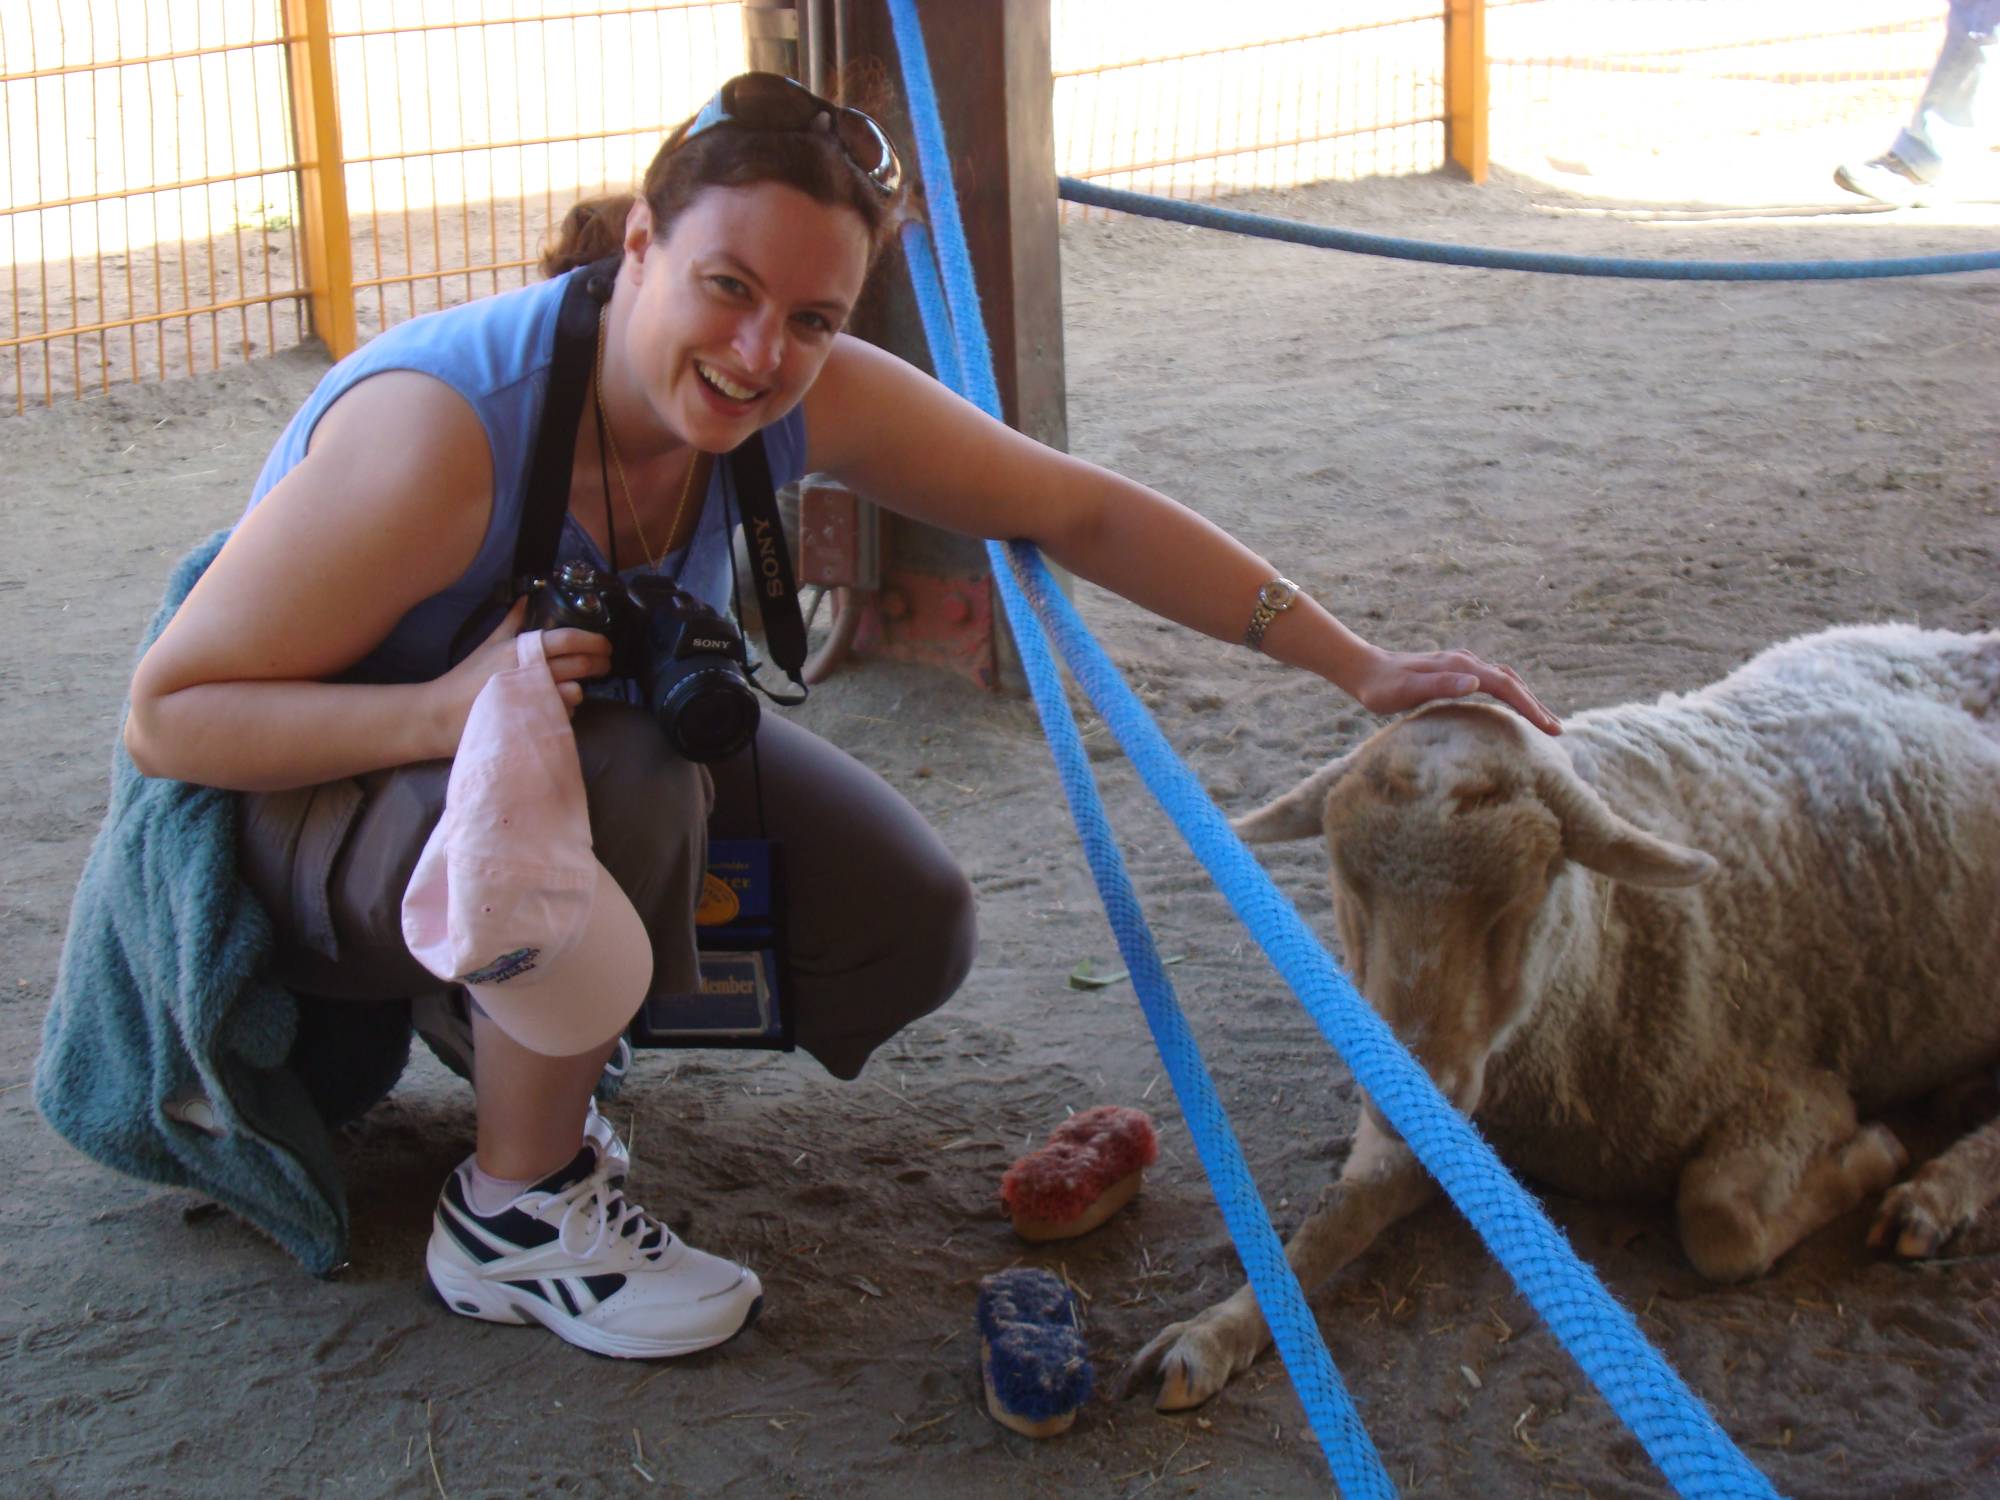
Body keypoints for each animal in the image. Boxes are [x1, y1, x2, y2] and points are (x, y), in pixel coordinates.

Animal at [1128, 620, 2000, 1408]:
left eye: (1516, 901)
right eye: (1348, 889)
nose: (1407, 1093)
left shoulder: (1792, 1086)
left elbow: (1719, 1221)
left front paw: (1879, 1153)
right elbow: (1329, 1220)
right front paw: (1215, 1330)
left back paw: (1934, 1192)